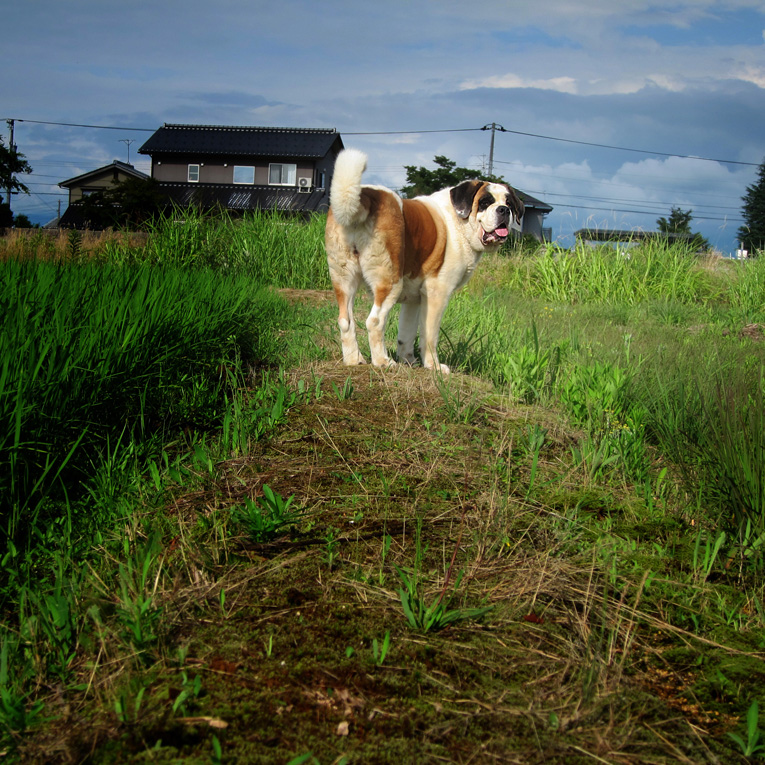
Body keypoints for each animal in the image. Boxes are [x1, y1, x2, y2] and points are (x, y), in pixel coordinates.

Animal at [322, 148, 524, 372]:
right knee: (374, 321)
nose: (503, 210)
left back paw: (353, 359)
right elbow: (429, 334)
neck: (459, 222)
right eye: (485, 202)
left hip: (343, 278)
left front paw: (408, 360)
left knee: (345, 320)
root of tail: (367, 196)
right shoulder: (437, 292)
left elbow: (407, 333)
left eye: (509, 203)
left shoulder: (414, 298)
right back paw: (383, 361)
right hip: (390, 282)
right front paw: (433, 365)